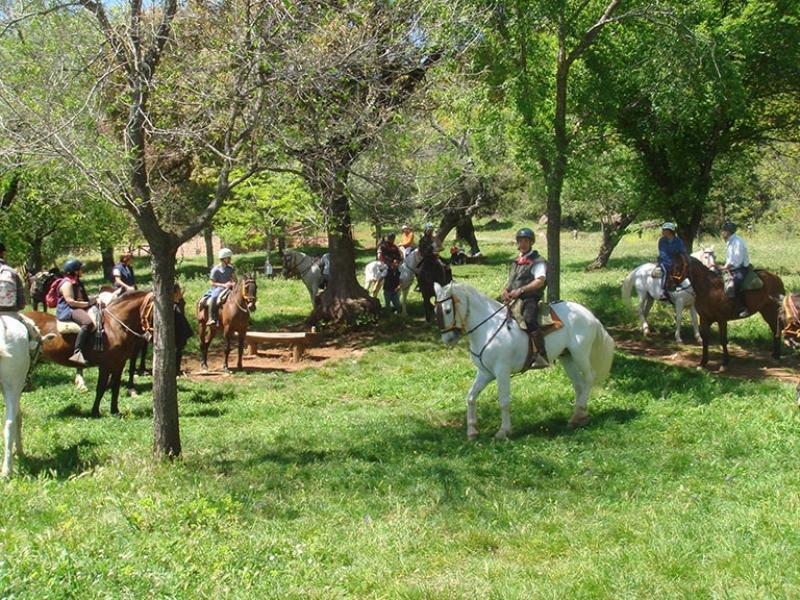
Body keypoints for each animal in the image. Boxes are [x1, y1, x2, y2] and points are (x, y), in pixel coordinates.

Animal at [23, 290, 152, 418]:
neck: (115, 326)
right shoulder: (105, 366)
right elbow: (100, 388)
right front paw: (95, 412)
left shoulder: (119, 364)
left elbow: (116, 387)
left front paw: (115, 411)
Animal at [438, 282, 612, 440]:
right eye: (436, 310)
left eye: (447, 310)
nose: (448, 339)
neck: (488, 328)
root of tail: (589, 314)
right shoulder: (485, 373)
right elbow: (471, 397)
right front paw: (472, 431)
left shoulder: (502, 371)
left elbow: (504, 400)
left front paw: (503, 431)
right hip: (567, 357)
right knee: (579, 384)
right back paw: (578, 417)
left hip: (579, 354)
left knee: (589, 378)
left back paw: (579, 413)